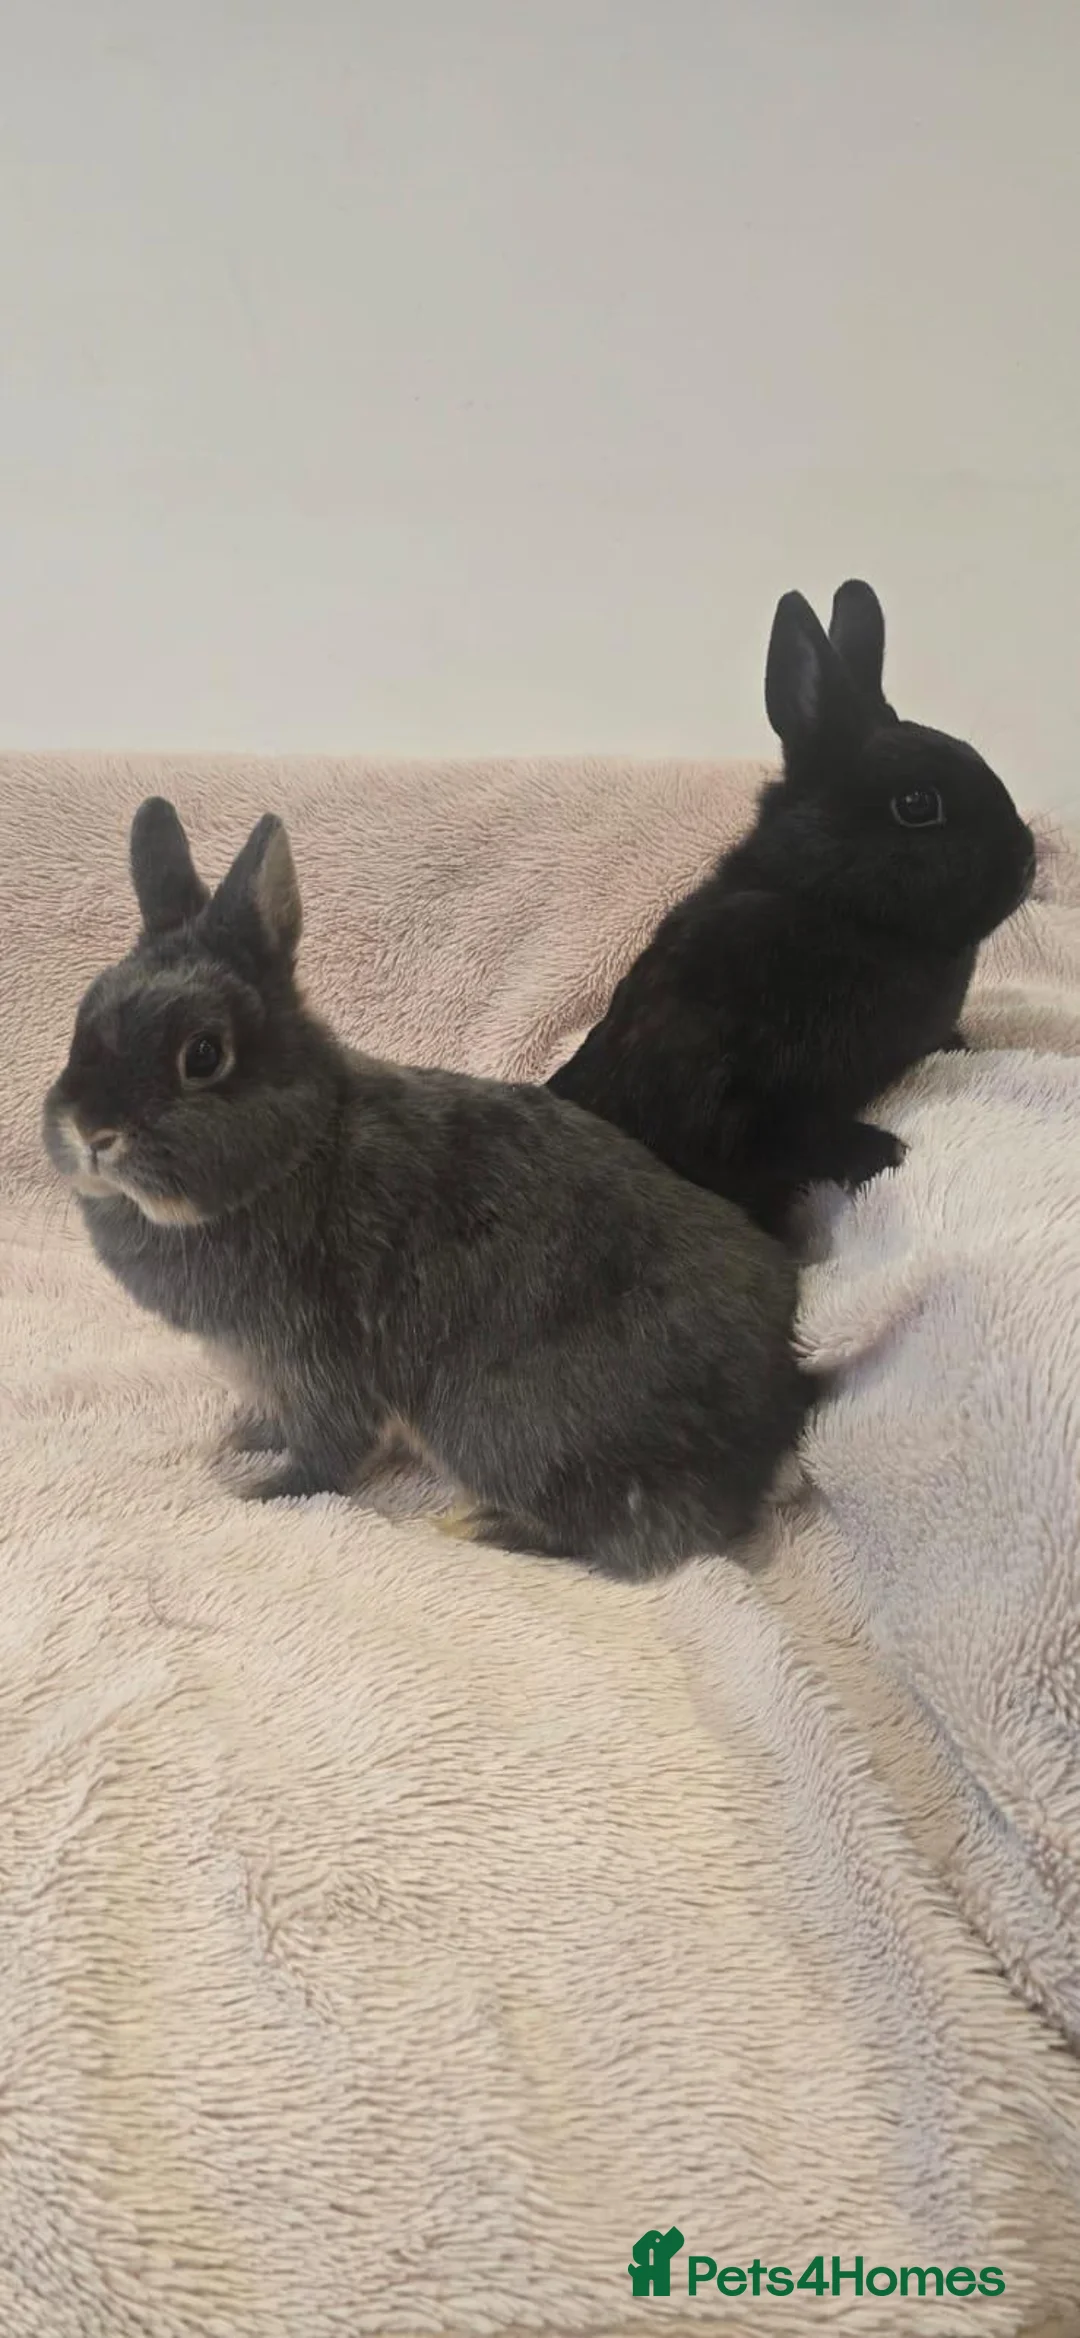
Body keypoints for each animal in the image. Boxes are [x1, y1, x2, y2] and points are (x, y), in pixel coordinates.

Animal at [41, 798, 811, 1582]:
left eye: (203, 1055)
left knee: (644, 1535)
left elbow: (328, 1449)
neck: (297, 1152)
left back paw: (482, 1525)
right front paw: (245, 1439)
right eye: (82, 1020)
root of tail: (772, 1419)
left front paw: (262, 1488)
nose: (91, 1131)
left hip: (498, 1422)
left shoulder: (320, 1354)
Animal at [548, 579, 1036, 1238]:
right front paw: (881, 1151)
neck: (830, 902)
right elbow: (777, 1136)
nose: (1027, 861)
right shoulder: (715, 1082)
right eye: (916, 803)